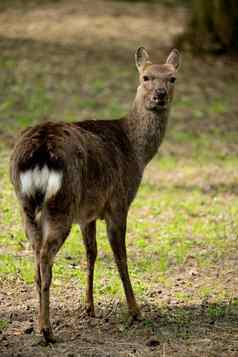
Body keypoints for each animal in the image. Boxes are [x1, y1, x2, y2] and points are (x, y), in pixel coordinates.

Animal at [9, 47, 180, 342]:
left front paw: (88, 307)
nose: (159, 95)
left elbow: (91, 253)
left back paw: (42, 323)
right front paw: (135, 310)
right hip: (61, 204)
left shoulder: (87, 213)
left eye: (172, 78)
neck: (135, 152)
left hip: (26, 204)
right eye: (145, 77)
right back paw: (47, 330)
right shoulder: (118, 203)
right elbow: (121, 257)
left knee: (36, 258)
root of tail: (40, 150)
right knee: (45, 258)